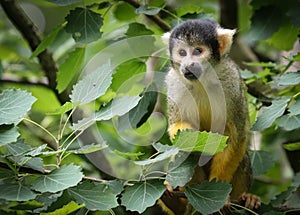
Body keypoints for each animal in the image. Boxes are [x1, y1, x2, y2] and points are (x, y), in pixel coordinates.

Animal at [162, 18, 260, 213]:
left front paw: (218, 193)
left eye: (198, 51)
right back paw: (176, 203)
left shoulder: (231, 82)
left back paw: (245, 198)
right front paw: (188, 133)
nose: (188, 65)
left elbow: (235, 136)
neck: (202, 80)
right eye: (182, 53)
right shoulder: (174, 83)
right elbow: (176, 128)